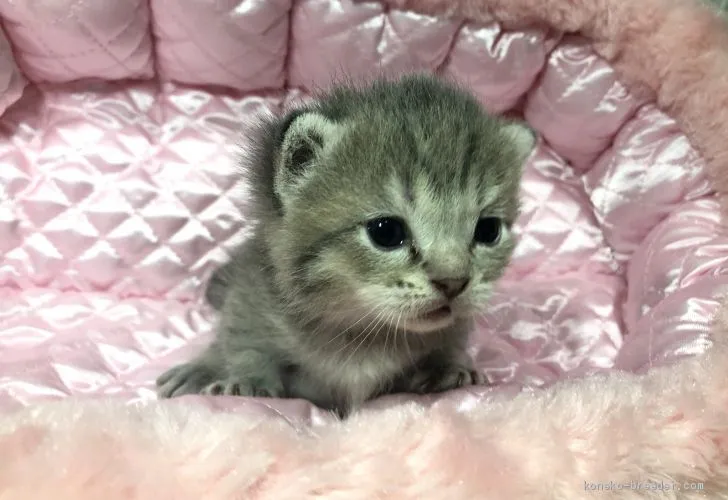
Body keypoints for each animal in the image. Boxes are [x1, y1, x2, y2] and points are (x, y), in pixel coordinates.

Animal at [158, 74, 536, 416]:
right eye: (386, 232)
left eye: (488, 230)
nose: (453, 283)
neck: (363, 333)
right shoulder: (252, 296)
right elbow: (243, 341)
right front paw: (248, 381)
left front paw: (448, 367)